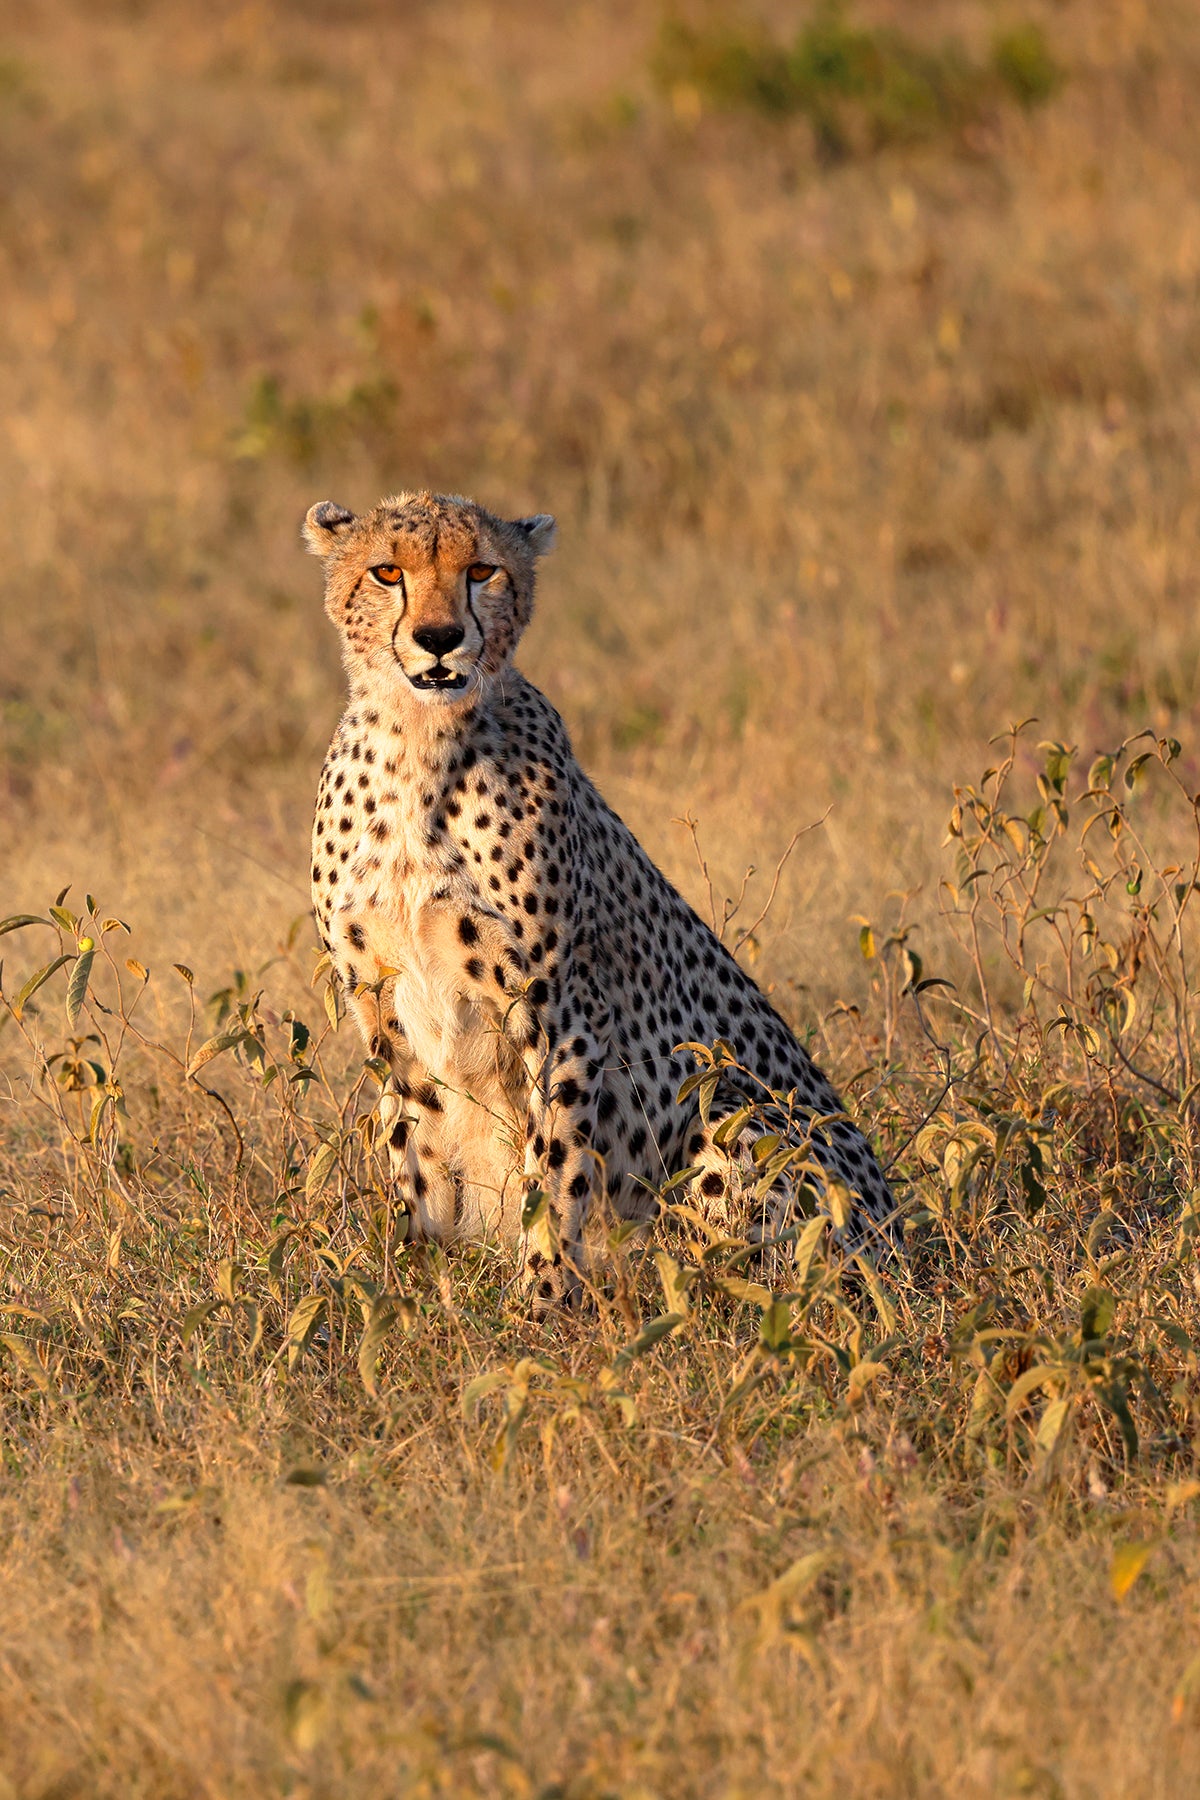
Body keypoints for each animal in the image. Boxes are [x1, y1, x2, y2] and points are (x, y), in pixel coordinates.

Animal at [305, 490, 897, 1306]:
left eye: (481, 570)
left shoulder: (558, 1008)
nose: (439, 638)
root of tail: (898, 1230)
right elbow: (411, 1153)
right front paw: (413, 1289)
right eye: (386, 571)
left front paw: (544, 1300)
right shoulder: (380, 1003)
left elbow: (554, 1169)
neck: (420, 743)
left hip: (735, 1112)